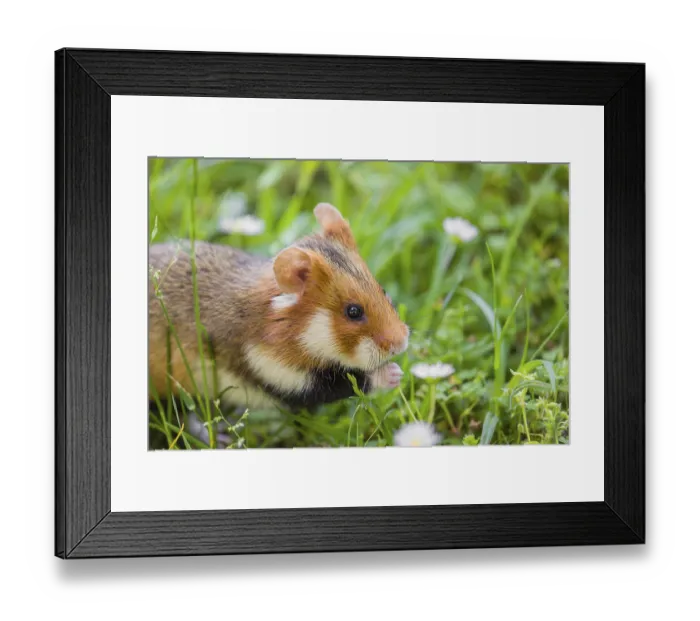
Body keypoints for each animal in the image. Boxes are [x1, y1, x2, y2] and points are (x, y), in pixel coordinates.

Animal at [148, 203, 410, 411]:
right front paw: (394, 373)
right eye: (353, 312)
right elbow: (342, 384)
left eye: (383, 290)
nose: (402, 344)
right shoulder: (275, 372)